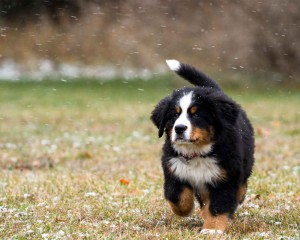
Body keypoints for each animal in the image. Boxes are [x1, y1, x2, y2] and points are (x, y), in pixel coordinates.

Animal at [151, 60, 254, 234]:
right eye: (174, 114)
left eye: (196, 114)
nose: (179, 128)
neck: (196, 153)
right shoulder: (173, 169)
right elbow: (176, 196)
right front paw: (186, 210)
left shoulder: (225, 177)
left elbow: (219, 205)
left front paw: (212, 229)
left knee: (241, 183)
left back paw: (238, 195)